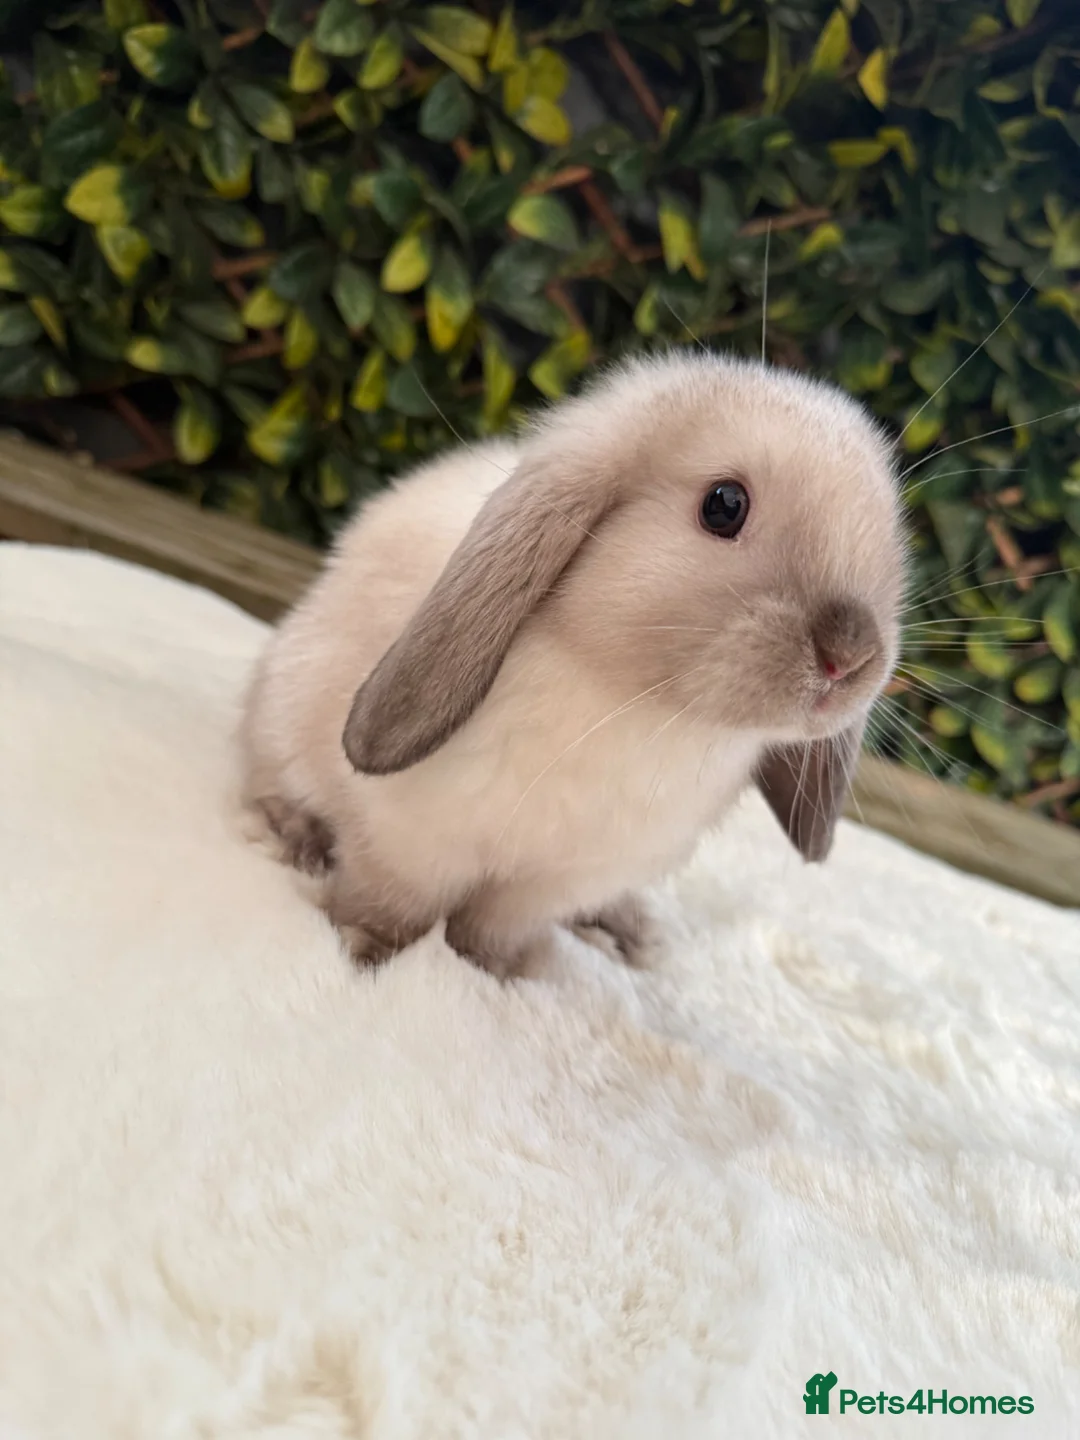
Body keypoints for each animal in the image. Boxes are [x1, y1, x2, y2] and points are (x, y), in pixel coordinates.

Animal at [238, 350, 906, 978]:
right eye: (724, 505)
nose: (849, 657)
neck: (635, 708)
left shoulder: (552, 884)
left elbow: (488, 932)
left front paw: (489, 975)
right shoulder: (412, 843)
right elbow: (393, 907)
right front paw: (363, 952)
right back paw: (296, 837)